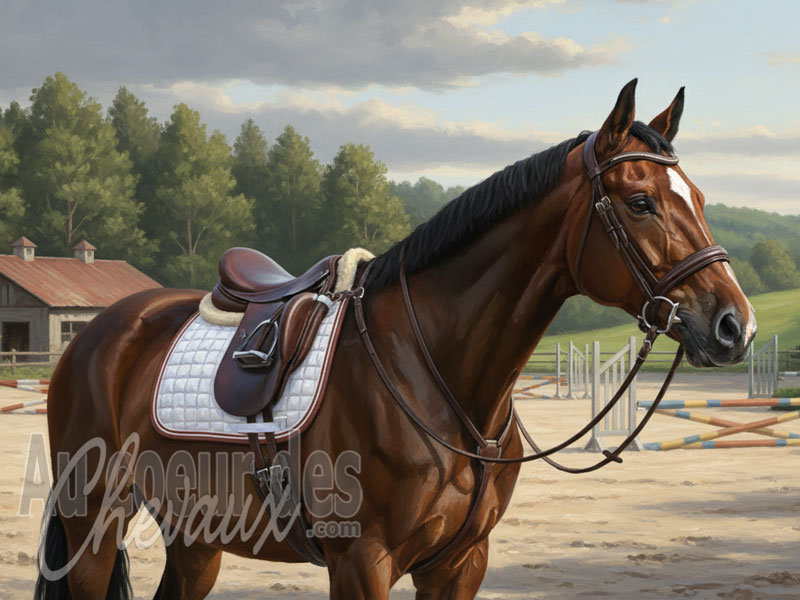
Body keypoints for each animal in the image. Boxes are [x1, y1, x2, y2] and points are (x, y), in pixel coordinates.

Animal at [35, 79, 756, 599]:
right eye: (640, 203)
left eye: (698, 197)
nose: (734, 324)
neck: (439, 376)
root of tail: (99, 335)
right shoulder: (362, 562)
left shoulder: (460, 565)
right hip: (94, 525)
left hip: (195, 539)